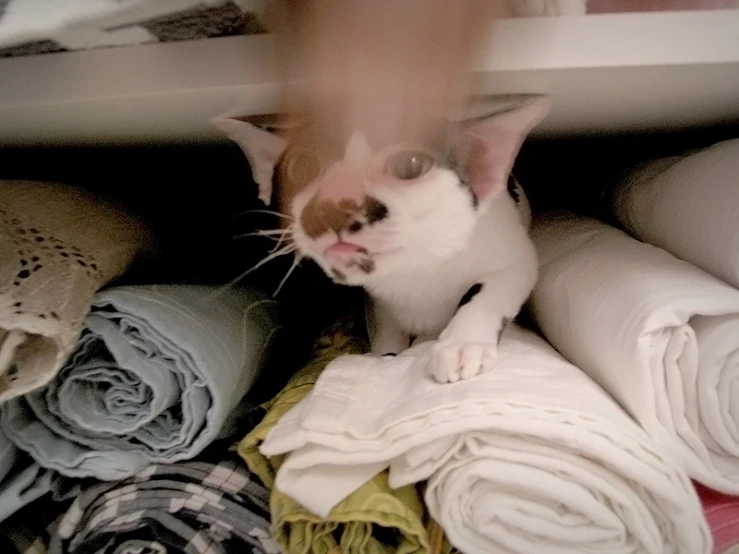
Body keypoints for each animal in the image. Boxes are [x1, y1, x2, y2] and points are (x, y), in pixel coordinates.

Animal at [212, 94, 548, 380]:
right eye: (300, 168)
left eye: (410, 165)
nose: (330, 210)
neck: (414, 269)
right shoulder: (377, 300)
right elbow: (386, 331)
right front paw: (388, 355)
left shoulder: (515, 254)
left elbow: (492, 288)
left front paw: (462, 344)